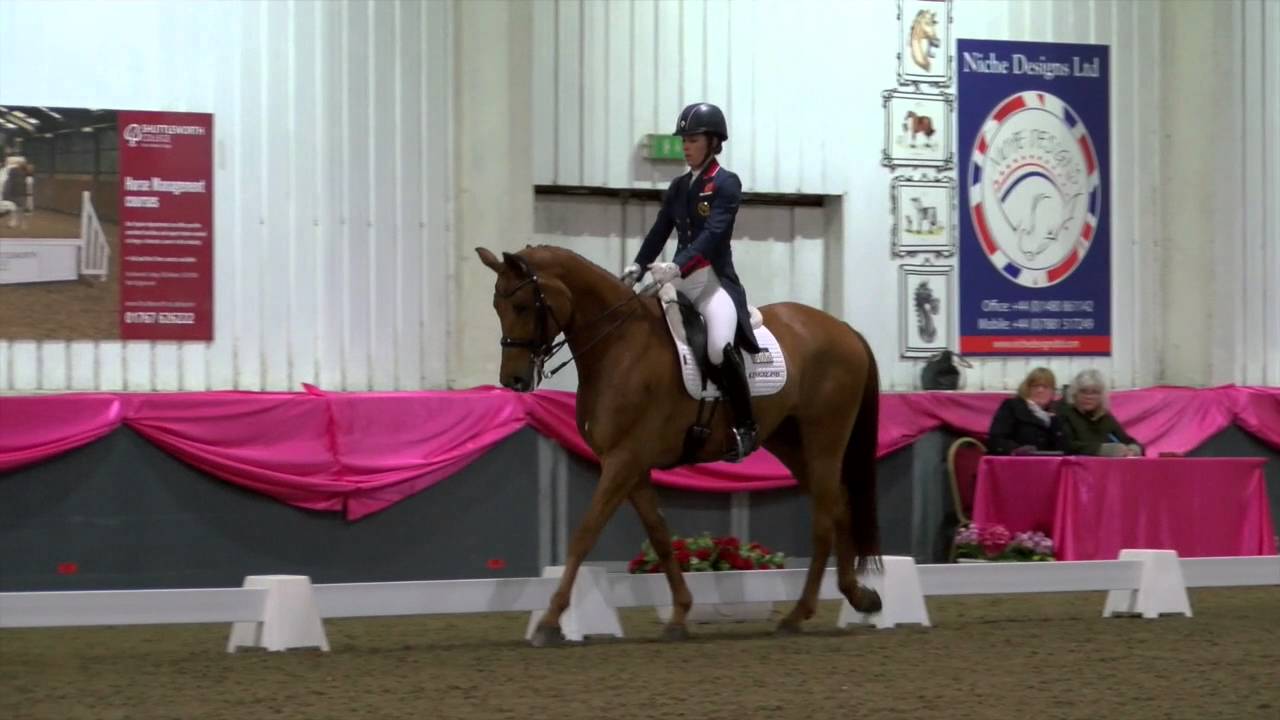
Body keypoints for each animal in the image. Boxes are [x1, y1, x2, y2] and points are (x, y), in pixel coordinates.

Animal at [475, 244, 884, 647]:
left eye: (523, 305)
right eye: (496, 306)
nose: (513, 380)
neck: (620, 346)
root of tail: (844, 329)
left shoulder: (623, 461)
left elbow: (585, 534)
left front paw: (549, 622)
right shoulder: (630, 465)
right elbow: (659, 534)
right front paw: (679, 615)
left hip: (824, 438)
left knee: (825, 517)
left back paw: (798, 615)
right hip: (790, 441)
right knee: (838, 504)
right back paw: (858, 596)